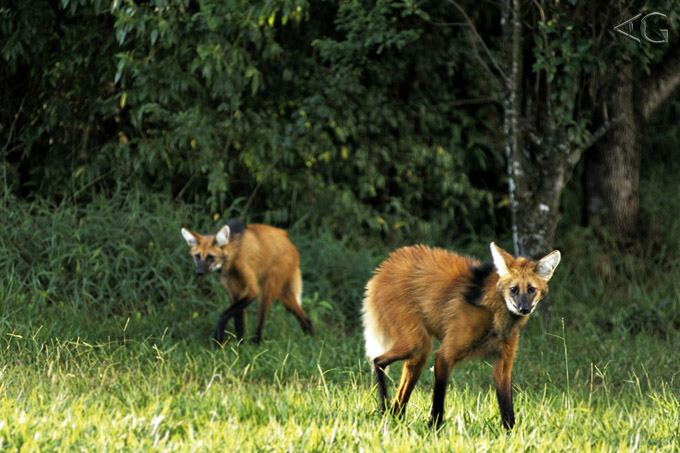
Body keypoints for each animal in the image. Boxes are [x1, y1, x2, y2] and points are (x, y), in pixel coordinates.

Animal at [181, 219, 312, 344]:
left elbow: (224, 315)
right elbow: (238, 321)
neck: (234, 255)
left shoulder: (252, 290)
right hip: (282, 293)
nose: (199, 272)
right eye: (197, 256)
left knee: (261, 316)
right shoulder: (234, 291)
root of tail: (288, 241)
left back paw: (256, 343)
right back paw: (309, 339)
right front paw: (240, 345)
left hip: (268, 288)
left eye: (210, 257)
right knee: (304, 317)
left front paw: (218, 340)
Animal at [362, 242, 561, 429]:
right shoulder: (445, 355)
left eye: (531, 289)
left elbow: (507, 408)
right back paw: (384, 412)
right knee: (378, 361)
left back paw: (395, 420)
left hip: (418, 354)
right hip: (417, 343)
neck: (494, 313)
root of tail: (384, 267)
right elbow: (438, 402)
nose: (523, 308)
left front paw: (510, 435)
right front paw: (433, 429)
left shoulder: (503, 365)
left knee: (399, 396)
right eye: (514, 289)